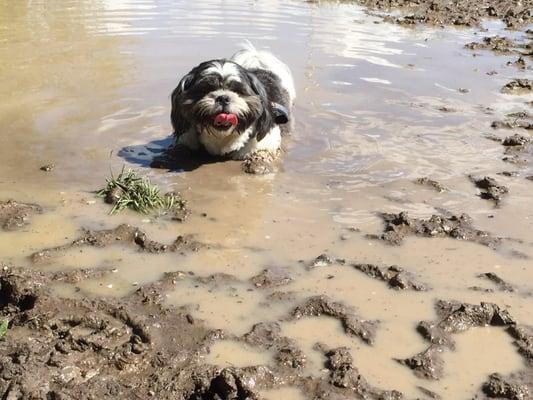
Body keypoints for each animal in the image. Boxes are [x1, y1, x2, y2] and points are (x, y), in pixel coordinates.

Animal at [169, 43, 296, 173]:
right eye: (206, 89)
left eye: (237, 90)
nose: (223, 98)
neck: (222, 138)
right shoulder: (188, 136)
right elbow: (181, 148)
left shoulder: (265, 141)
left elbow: (261, 152)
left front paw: (258, 165)